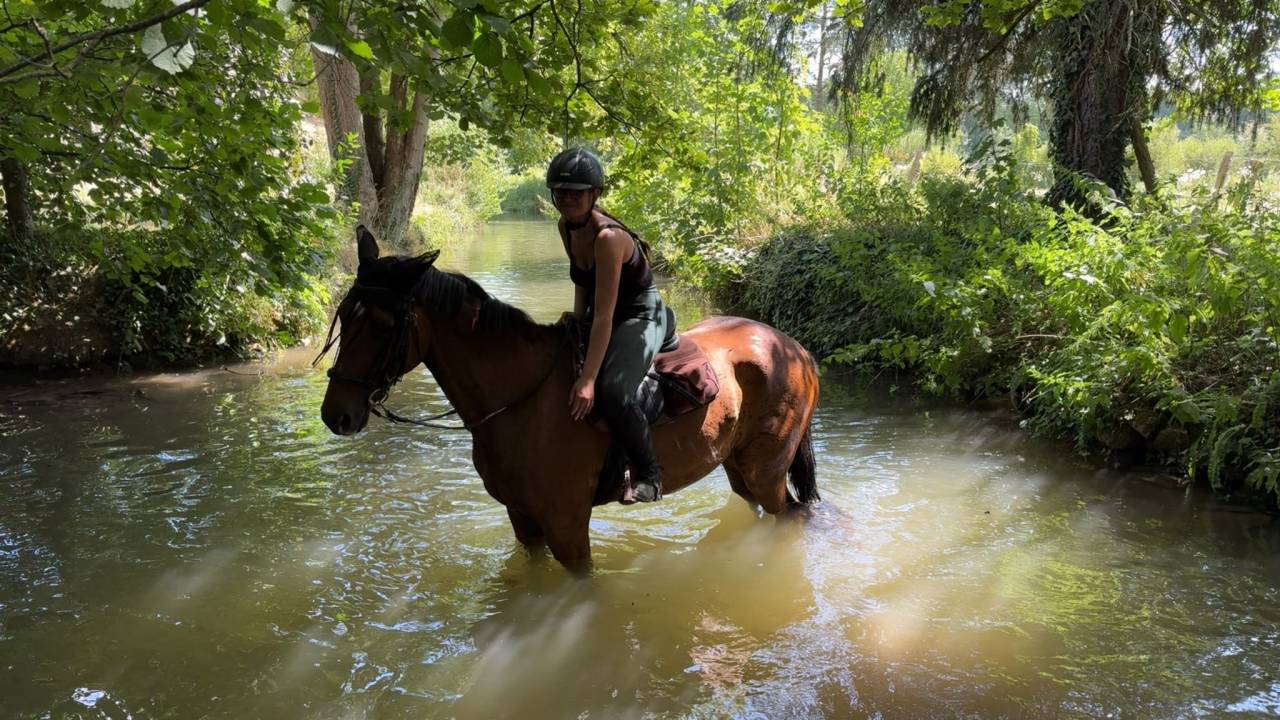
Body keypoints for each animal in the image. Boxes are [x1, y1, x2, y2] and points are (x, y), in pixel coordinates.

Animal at [320, 226, 821, 571]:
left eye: (383, 324)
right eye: (344, 314)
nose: (335, 415)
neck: (522, 401)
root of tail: (797, 349)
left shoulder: (567, 528)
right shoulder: (523, 521)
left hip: (766, 470)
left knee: (790, 514)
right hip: (737, 465)